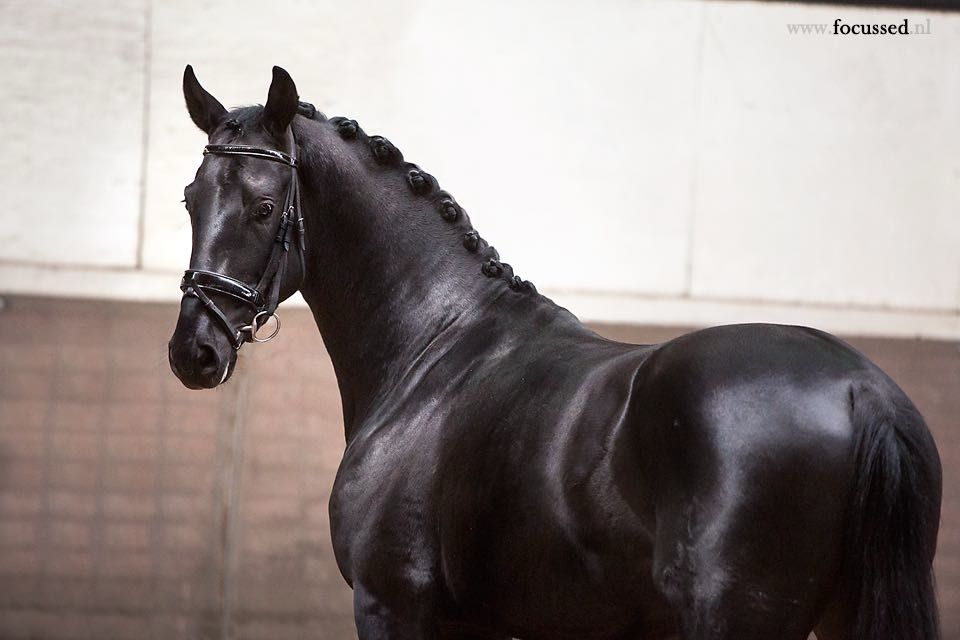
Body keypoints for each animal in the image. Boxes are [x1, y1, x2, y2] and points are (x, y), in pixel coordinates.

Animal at [167, 66, 942, 640]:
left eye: (264, 208)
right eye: (189, 200)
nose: (192, 351)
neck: (436, 347)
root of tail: (862, 392)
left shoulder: (393, 606)